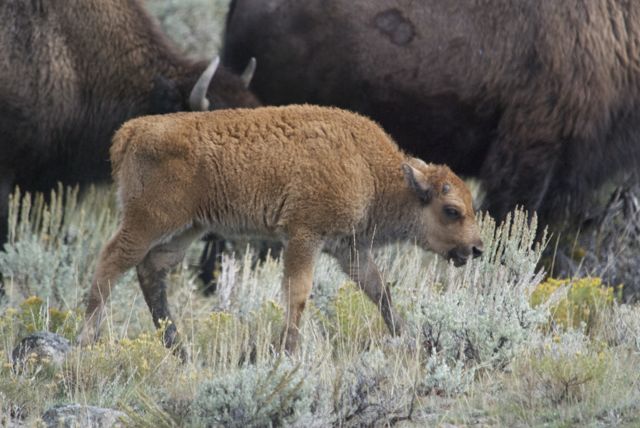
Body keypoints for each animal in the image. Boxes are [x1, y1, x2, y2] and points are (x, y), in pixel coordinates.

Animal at [77, 105, 484, 354]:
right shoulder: (304, 236)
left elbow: (379, 290)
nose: (477, 248)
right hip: (147, 222)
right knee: (111, 262)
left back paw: (178, 348)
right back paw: (85, 339)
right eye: (452, 211)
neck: (370, 169)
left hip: (186, 230)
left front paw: (407, 337)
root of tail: (132, 130)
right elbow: (298, 295)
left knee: (151, 270)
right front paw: (287, 351)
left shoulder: (349, 249)